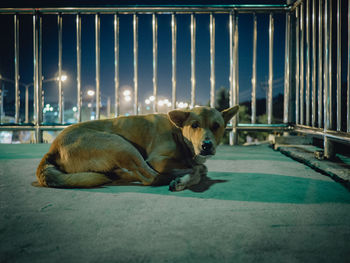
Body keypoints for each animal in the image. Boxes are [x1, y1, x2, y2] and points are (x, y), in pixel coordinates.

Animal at [36, 105, 238, 192]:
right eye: (195, 125)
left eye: (216, 126)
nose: (206, 146)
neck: (178, 132)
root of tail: (52, 148)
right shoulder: (157, 160)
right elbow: (198, 169)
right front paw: (183, 179)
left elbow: (200, 168)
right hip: (120, 144)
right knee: (151, 178)